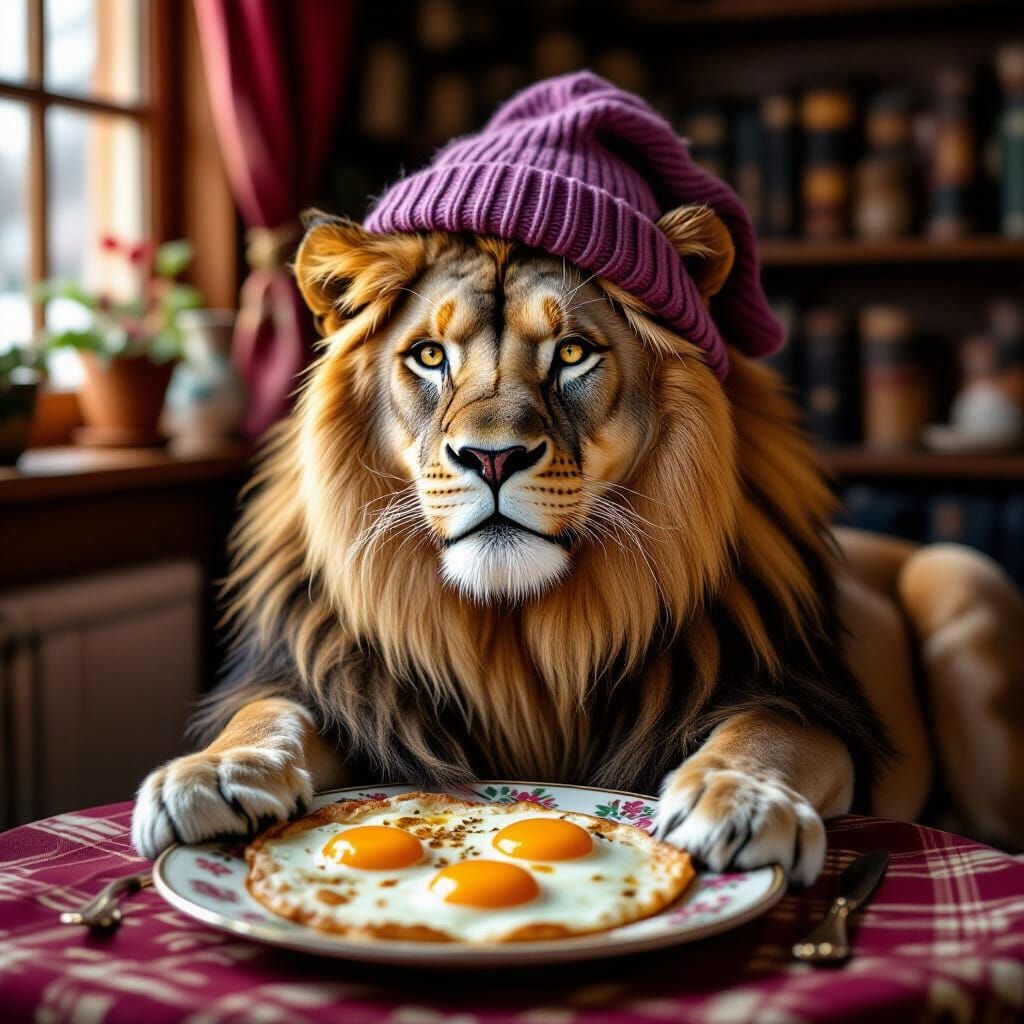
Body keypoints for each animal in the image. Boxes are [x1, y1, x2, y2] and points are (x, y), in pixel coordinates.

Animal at [130, 204, 1024, 883]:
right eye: (429, 356)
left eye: (571, 353)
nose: (492, 458)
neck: (517, 631)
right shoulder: (355, 696)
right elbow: (267, 712)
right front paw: (215, 772)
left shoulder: (809, 702)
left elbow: (764, 733)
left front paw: (738, 799)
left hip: (959, 592)